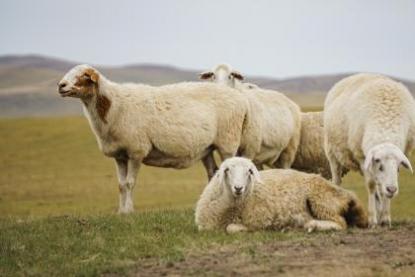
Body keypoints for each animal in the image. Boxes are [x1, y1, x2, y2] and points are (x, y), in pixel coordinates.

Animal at [57, 64, 264, 213]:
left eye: (84, 75)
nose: (61, 86)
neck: (112, 105)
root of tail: (241, 99)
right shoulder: (120, 155)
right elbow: (121, 185)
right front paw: (121, 212)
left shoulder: (136, 150)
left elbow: (130, 183)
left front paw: (129, 212)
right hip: (208, 148)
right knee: (213, 173)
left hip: (227, 142)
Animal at [195, 156, 368, 232]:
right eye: (227, 170)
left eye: (249, 171)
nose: (238, 188)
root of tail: (348, 195)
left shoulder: (258, 220)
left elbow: (232, 227)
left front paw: (243, 228)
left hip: (321, 201)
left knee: (341, 223)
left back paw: (310, 225)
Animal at [324, 73, 415, 226]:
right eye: (380, 164)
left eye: (398, 167)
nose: (392, 189)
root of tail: (357, 74)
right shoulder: (362, 157)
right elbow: (371, 185)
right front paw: (372, 220)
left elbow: (382, 189)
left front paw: (385, 218)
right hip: (332, 153)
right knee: (336, 180)